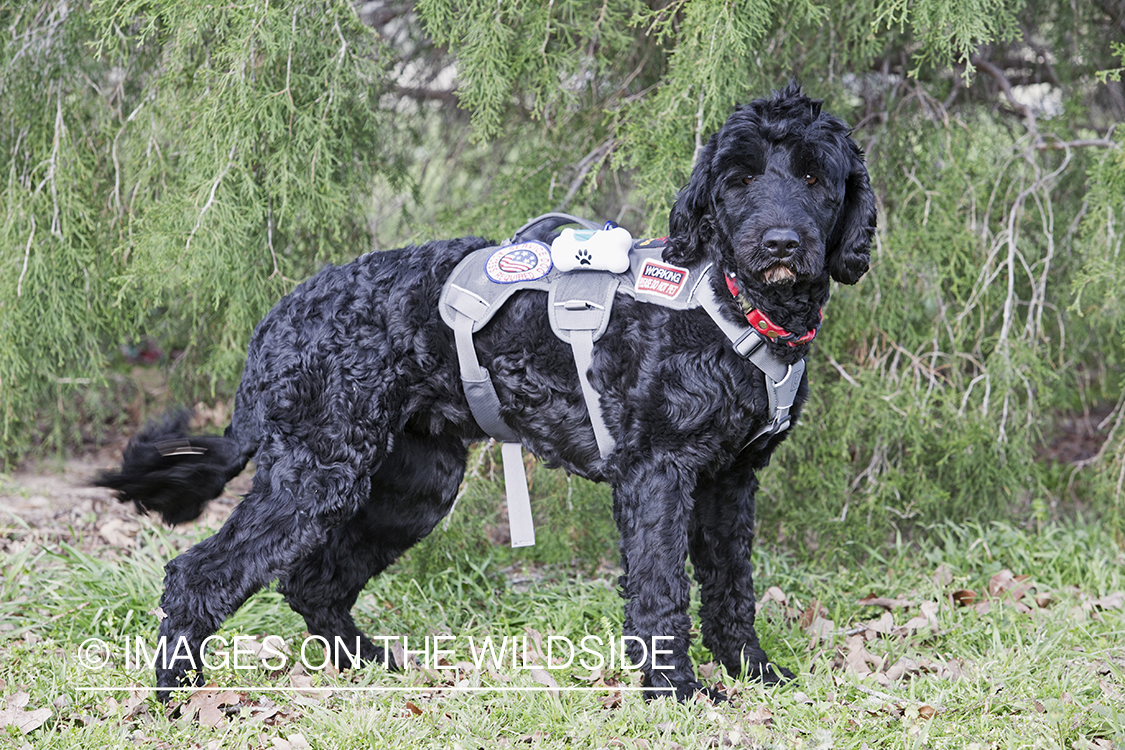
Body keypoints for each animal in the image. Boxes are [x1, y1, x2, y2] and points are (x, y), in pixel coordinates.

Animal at [99, 84, 877, 701]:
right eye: (738, 178)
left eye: (814, 175)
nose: (780, 245)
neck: (729, 302)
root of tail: (278, 316)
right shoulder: (658, 473)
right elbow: (661, 592)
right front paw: (676, 694)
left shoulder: (730, 480)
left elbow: (730, 589)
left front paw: (755, 674)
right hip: (317, 475)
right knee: (196, 575)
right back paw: (178, 694)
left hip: (411, 486)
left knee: (313, 582)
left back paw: (370, 665)